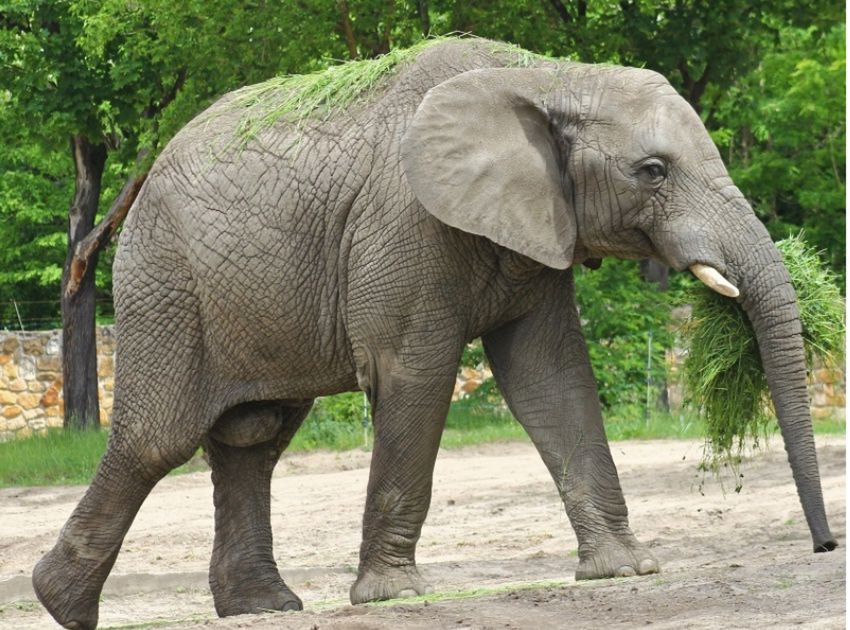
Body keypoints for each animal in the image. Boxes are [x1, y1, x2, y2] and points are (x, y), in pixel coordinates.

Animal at [31, 37, 836, 628]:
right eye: (653, 171)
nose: (827, 545)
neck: (546, 76)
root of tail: (145, 177)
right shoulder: (406, 221)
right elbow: (413, 373)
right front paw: (393, 596)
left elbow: (552, 380)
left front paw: (626, 570)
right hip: (167, 282)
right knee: (158, 439)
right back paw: (60, 604)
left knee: (252, 439)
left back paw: (263, 608)